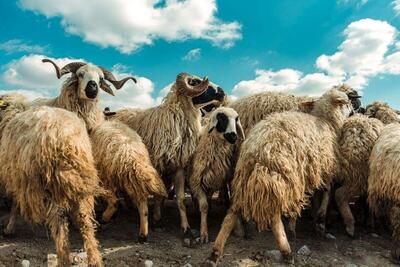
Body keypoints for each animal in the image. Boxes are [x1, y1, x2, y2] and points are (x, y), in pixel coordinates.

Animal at [0, 95, 104, 266]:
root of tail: (65, 139)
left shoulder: (18, 177)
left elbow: (15, 203)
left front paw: (9, 228)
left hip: (49, 181)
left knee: (59, 224)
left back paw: (63, 259)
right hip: (82, 176)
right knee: (85, 222)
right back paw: (95, 259)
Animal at [111, 73, 227, 245]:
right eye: (195, 82)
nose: (223, 93)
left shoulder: (179, 166)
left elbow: (180, 199)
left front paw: (186, 228)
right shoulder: (157, 165)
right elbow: (159, 194)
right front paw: (157, 220)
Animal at [205, 88, 352, 266]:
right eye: (346, 102)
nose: (354, 111)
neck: (325, 121)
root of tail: (256, 152)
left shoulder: (307, 173)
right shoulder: (323, 169)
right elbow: (327, 192)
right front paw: (317, 221)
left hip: (244, 180)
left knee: (231, 214)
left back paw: (215, 252)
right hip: (278, 179)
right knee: (274, 217)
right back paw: (286, 251)